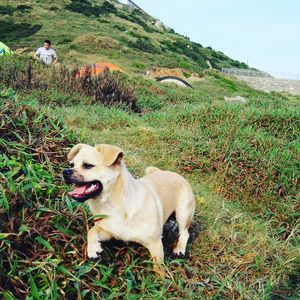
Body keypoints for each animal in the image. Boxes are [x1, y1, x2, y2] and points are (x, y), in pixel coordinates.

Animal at [63, 143, 195, 262]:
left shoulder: (155, 245)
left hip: (183, 213)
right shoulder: (107, 232)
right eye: (72, 164)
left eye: (88, 166)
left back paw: (179, 249)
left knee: (184, 233)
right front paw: (93, 249)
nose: (65, 172)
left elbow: (158, 268)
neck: (112, 204)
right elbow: (91, 231)